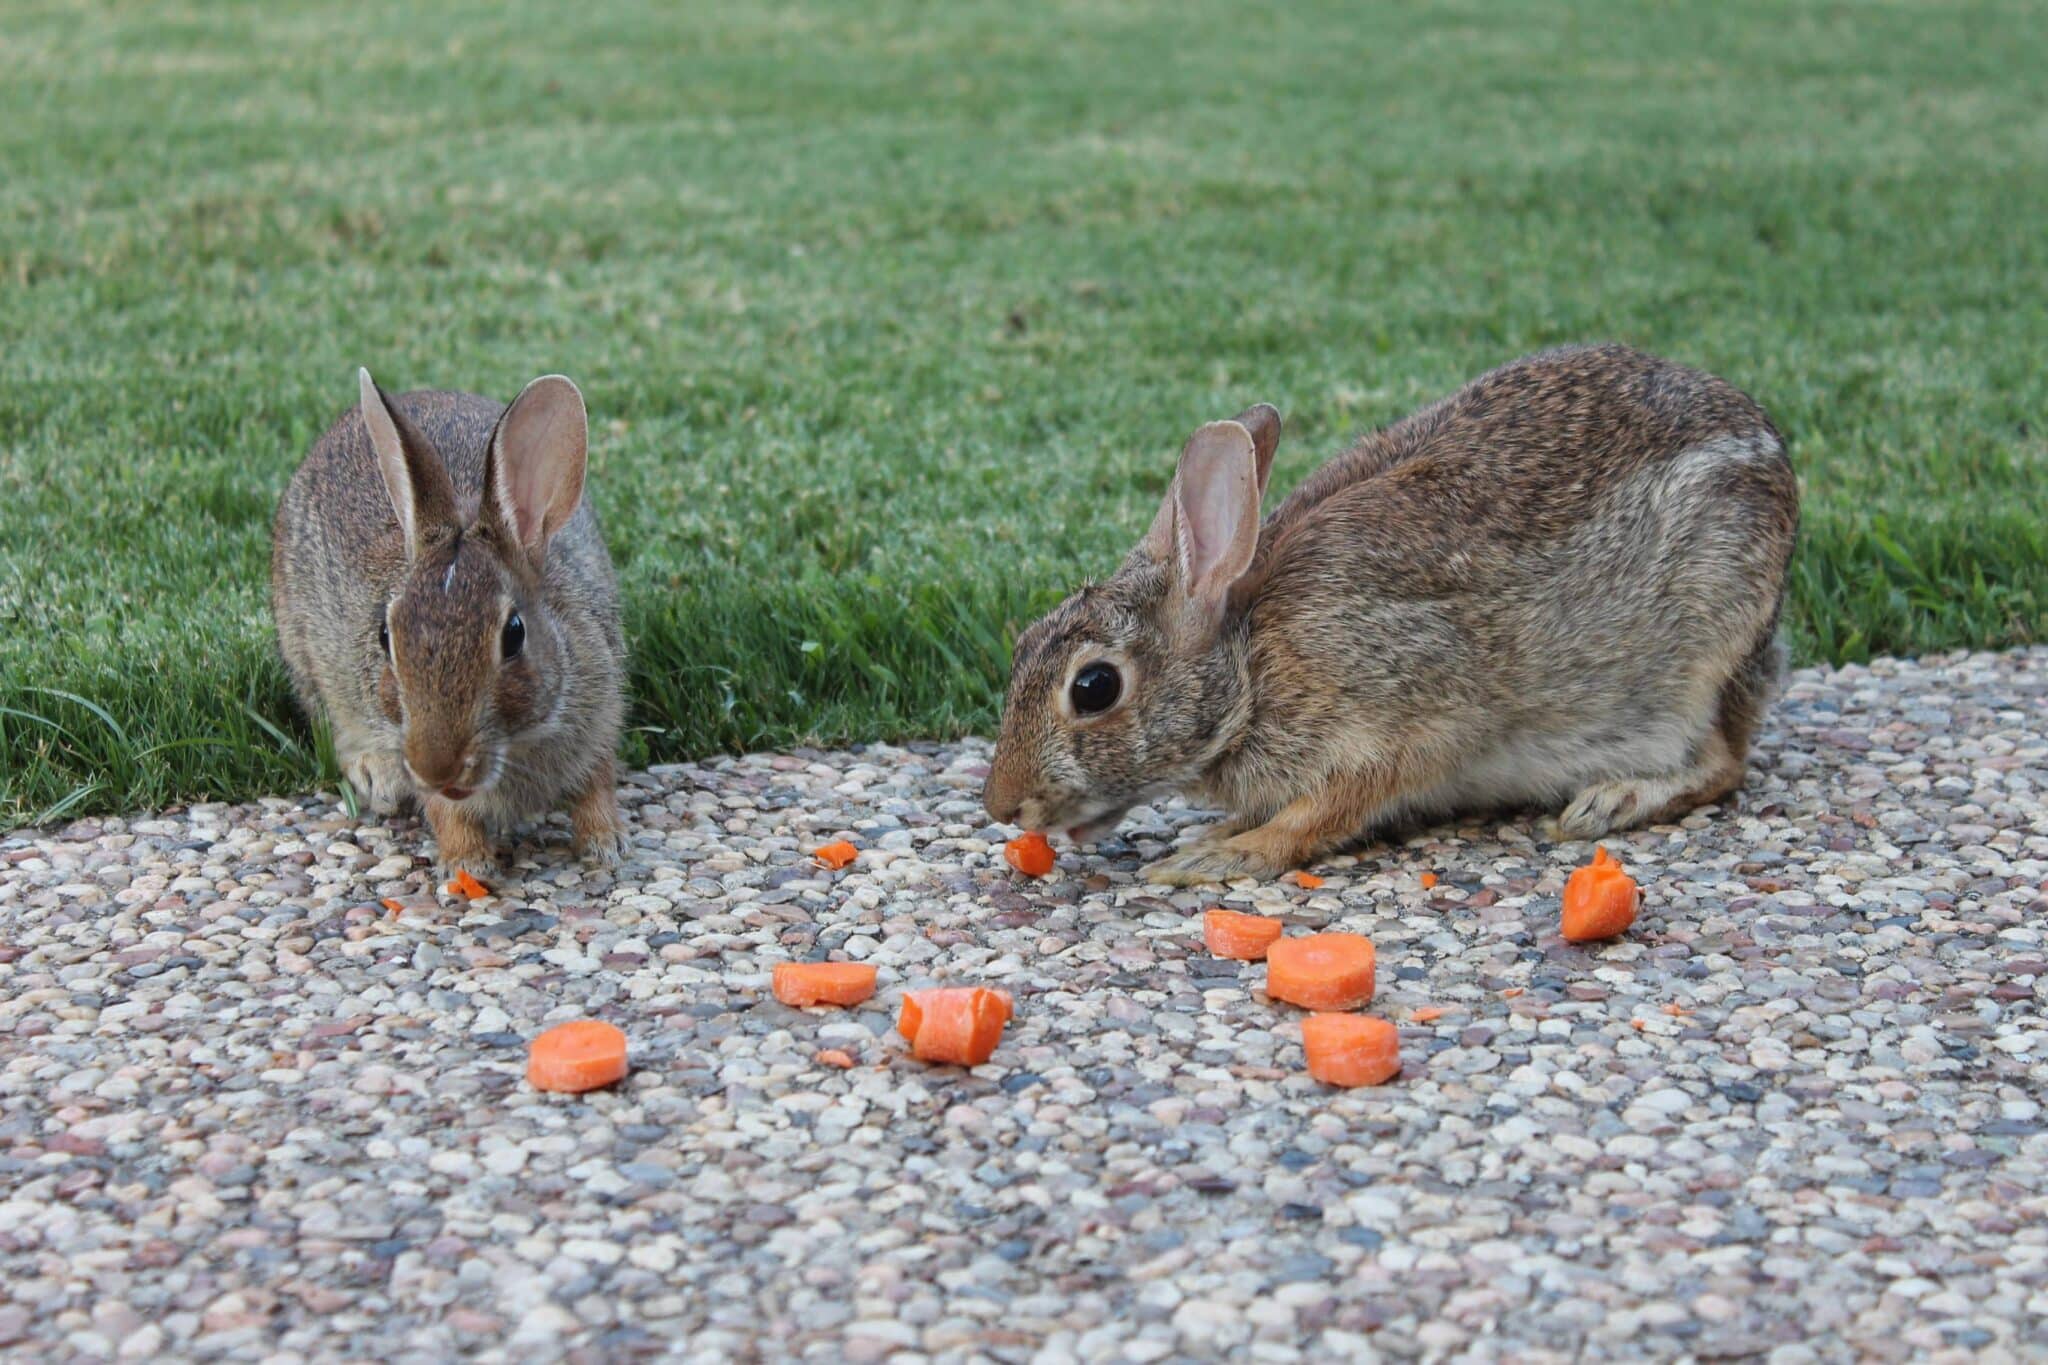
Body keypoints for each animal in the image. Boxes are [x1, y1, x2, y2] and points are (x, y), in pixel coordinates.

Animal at [271, 369, 628, 880]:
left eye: (514, 634)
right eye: (385, 636)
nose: (436, 768)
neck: (515, 746)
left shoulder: (599, 712)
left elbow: (596, 785)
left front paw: (605, 844)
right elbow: (447, 812)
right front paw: (469, 864)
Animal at [983, 344, 1799, 886]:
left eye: (1095, 688)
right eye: (1022, 645)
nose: (1001, 806)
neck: (1248, 664)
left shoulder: (1408, 715)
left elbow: (1329, 808)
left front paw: (1220, 855)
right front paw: (1223, 831)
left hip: (1709, 644)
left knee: (1724, 761)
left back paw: (1613, 800)